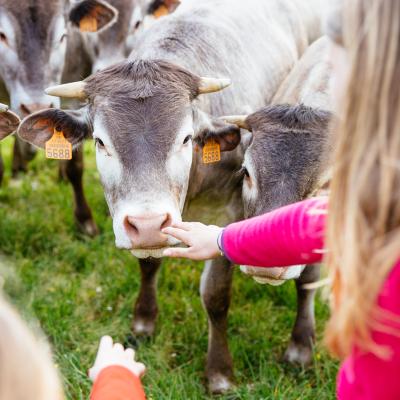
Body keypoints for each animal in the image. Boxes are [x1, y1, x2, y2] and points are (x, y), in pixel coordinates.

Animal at [17, 0, 328, 394]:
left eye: (186, 138)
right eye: (100, 142)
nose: (148, 224)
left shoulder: (233, 212)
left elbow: (215, 294)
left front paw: (219, 372)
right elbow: (148, 263)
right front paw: (144, 322)